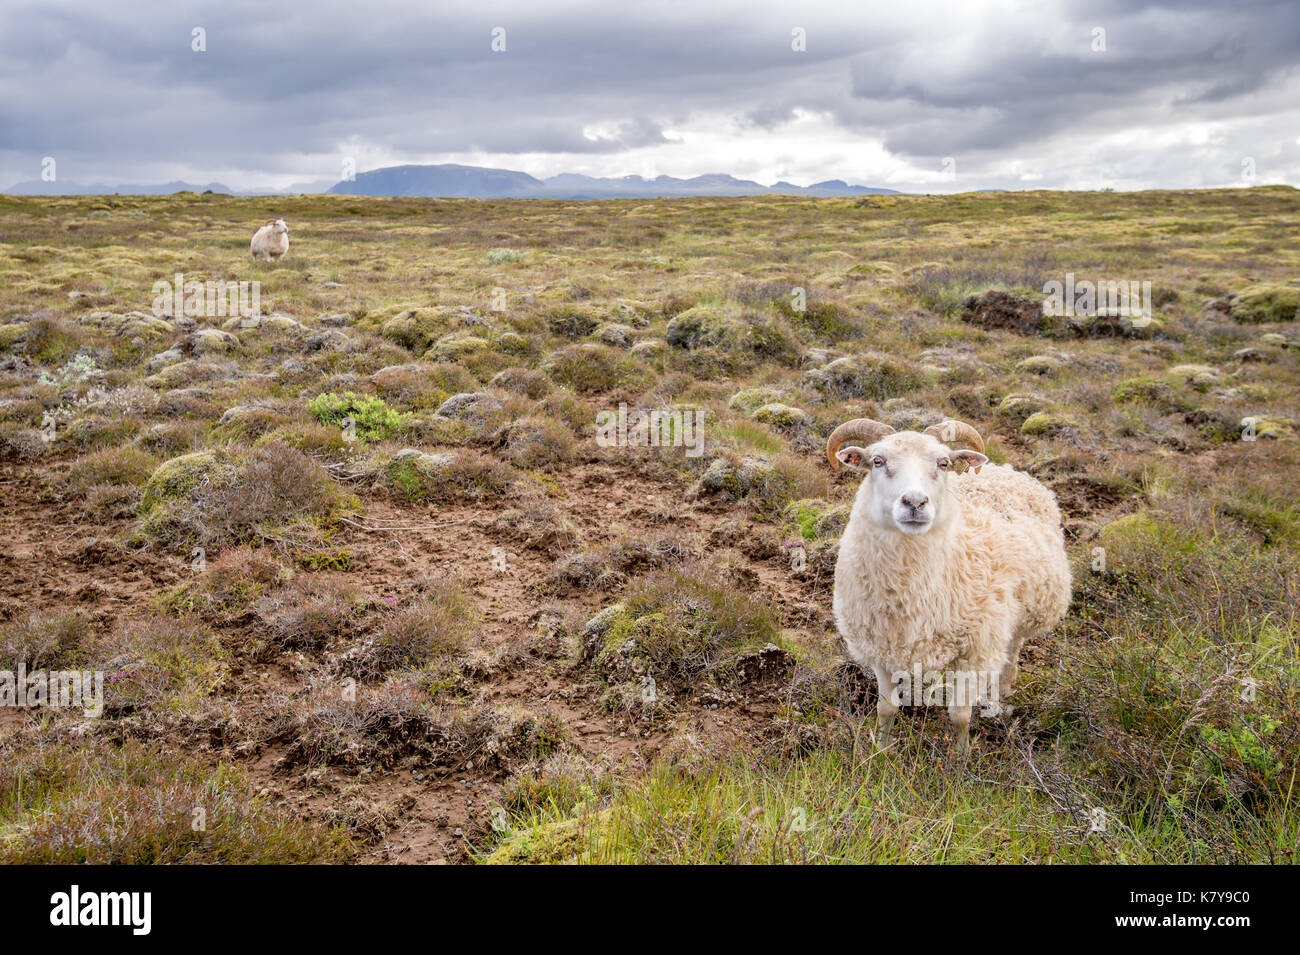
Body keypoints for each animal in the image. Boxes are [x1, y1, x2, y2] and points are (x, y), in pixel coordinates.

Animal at [826, 418, 1071, 753]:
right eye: (878, 461)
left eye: (943, 463)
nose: (915, 502)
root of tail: (1004, 469)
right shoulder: (881, 651)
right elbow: (886, 708)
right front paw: (882, 748)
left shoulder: (977, 652)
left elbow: (960, 715)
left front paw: (961, 757)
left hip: (1019, 619)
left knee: (1011, 654)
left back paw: (1002, 698)